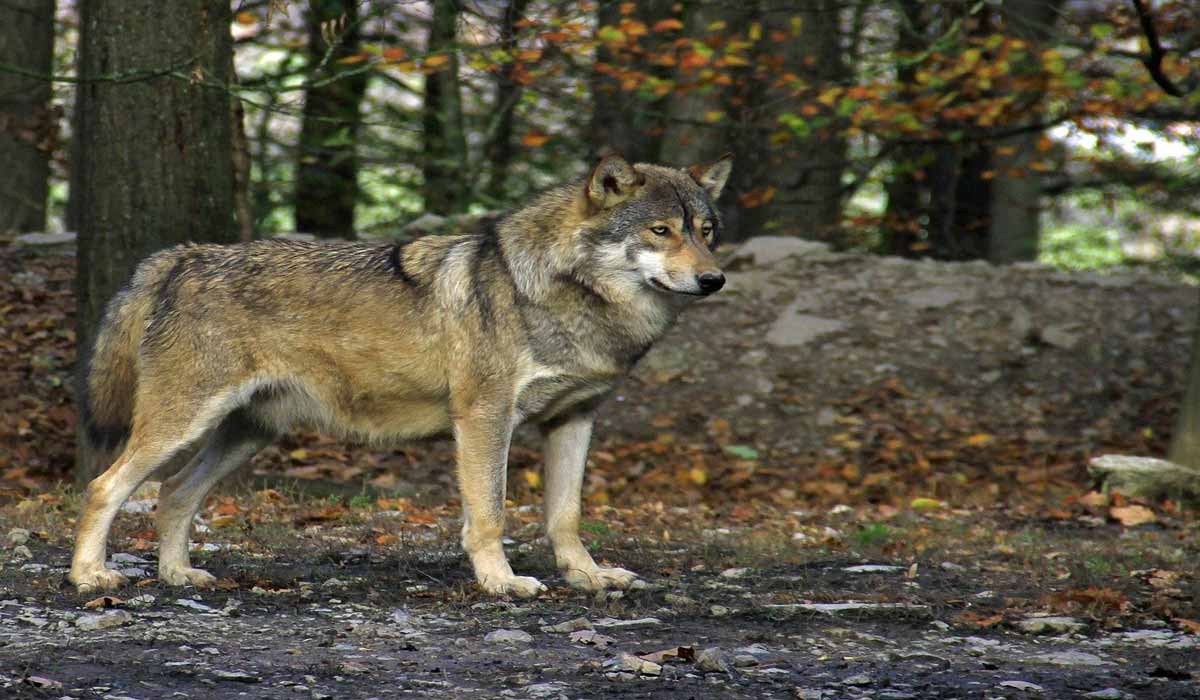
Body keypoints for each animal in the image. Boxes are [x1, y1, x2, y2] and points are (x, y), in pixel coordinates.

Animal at [75, 153, 734, 597]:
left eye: (706, 232)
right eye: (660, 231)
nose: (714, 280)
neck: (561, 294)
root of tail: (182, 256)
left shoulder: (573, 419)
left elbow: (565, 515)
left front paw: (587, 575)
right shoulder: (485, 419)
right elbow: (490, 514)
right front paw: (502, 582)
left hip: (245, 435)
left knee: (173, 493)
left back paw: (177, 574)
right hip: (183, 426)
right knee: (105, 486)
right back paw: (89, 576)